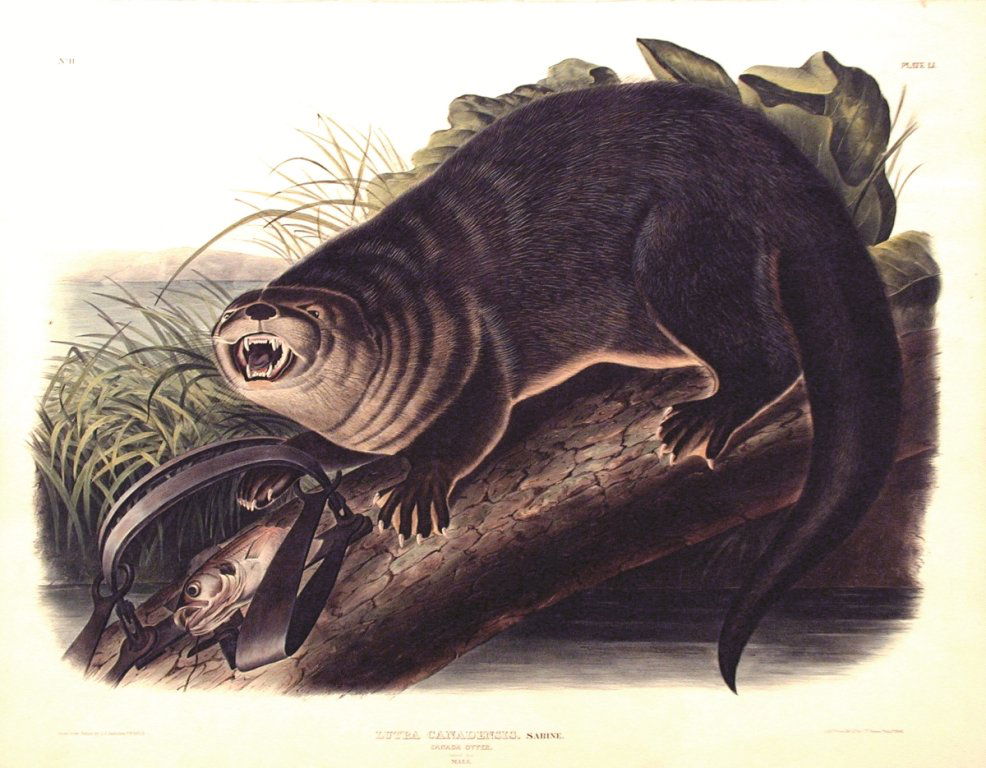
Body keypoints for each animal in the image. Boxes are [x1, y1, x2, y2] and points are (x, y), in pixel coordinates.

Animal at [212, 81, 902, 690]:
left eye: (308, 310)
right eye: (237, 306)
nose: (256, 312)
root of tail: (785, 167)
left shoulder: (465, 338)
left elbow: (476, 417)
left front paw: (421, 483)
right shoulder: (373, 420)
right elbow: (332, 448)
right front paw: (269, 473)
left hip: (687, 242)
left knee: (774, 353)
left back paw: (714, 411)